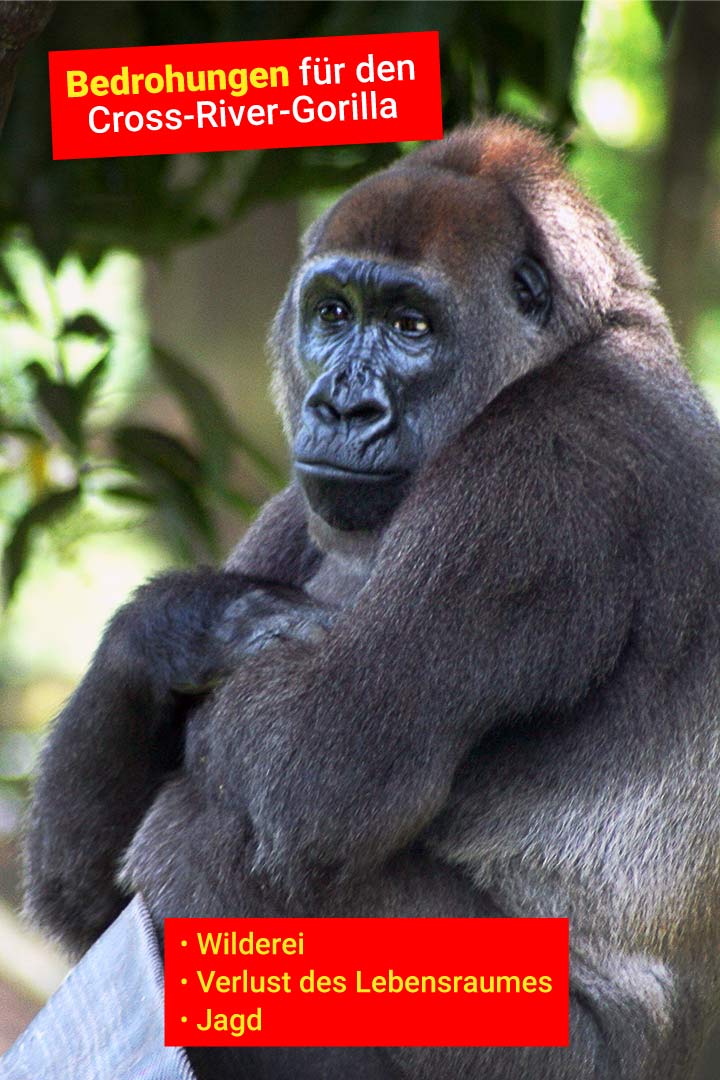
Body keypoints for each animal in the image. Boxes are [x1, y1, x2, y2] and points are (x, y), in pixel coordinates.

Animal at [24, 120, 720, 1079]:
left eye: (409, 325)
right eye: (334, 314)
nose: (343, 408)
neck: (576, 341)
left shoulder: (551, 461)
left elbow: (317, 770)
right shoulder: (299, 499)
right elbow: (80, 889)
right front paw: (191, 626)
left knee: (200, 838)